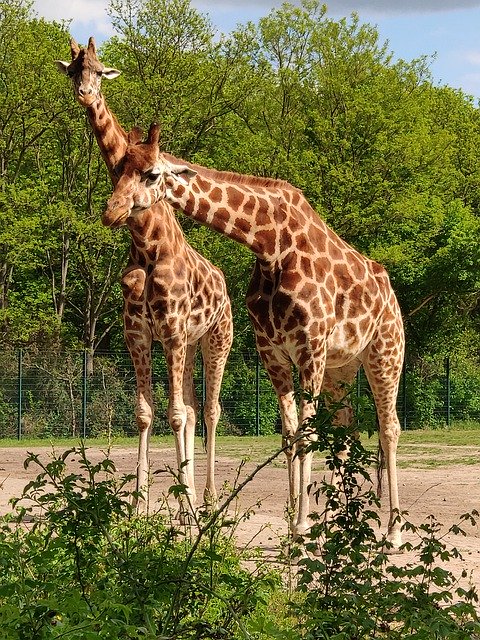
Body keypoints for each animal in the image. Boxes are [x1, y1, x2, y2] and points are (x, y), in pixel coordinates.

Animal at [55, 40, 233, 512]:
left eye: (99, 70)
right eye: (73, 70)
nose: (111, 211)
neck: (148, 245)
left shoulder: (169, 330)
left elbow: (174, 413)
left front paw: (185, 509)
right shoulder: (139, 333)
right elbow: (146, 412)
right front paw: (141, 506)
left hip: (216, 340)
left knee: (210, 410)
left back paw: (209, 498)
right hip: (189, 343)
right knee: (193, 409)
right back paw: (191, 495)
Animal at [104, 125, 404, 552]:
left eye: (151, 174)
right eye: (119, 170)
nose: (110, 211)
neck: (269, 243)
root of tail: (391, 294)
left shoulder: (309, 348)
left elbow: (307, 434)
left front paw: (301, 527)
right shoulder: (273, 352)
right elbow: (291, 434)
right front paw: (298, 527)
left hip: (384, 353)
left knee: (389, 427)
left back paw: (392, 531)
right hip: (342, 367)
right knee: (345, 430)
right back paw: (334, 526)